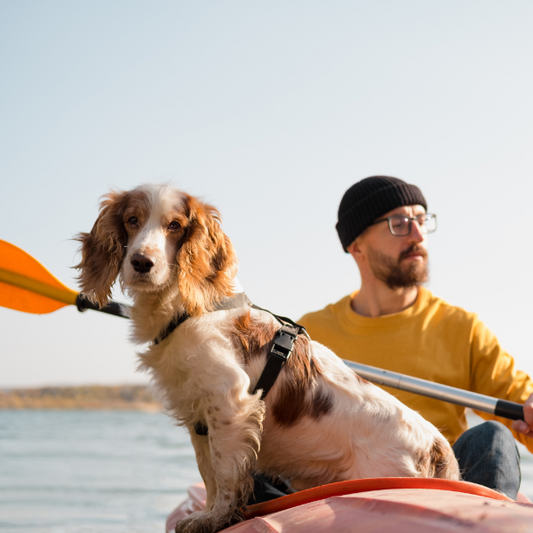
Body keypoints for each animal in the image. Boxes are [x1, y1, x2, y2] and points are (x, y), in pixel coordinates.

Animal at [77, 184, 460, 532]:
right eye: (132, 220)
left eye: (174, 225)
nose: (142, 262)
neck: (189, 308)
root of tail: (435, 444)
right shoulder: (198, 413)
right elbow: (208, 471)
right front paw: (209, 514)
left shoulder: (230, 400)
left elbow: (224, 471)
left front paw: (215, 518)